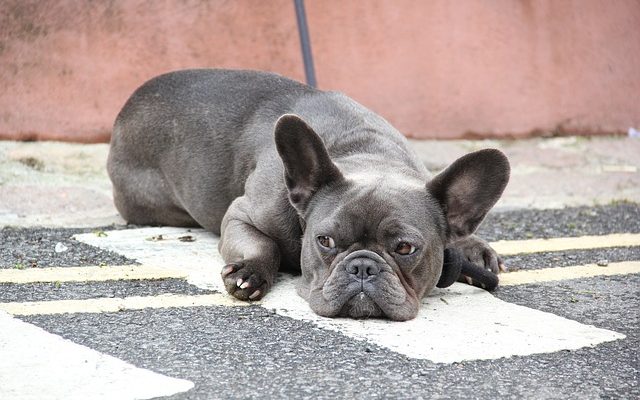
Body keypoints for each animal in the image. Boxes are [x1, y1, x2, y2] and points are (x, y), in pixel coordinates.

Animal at [110, 69, 510, 322]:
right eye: (325, 241)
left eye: (405, 248)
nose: (362, 266)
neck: (367, 154)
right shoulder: (239, 215)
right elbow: (263, 244)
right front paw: (250, 273)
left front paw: (469, 247)